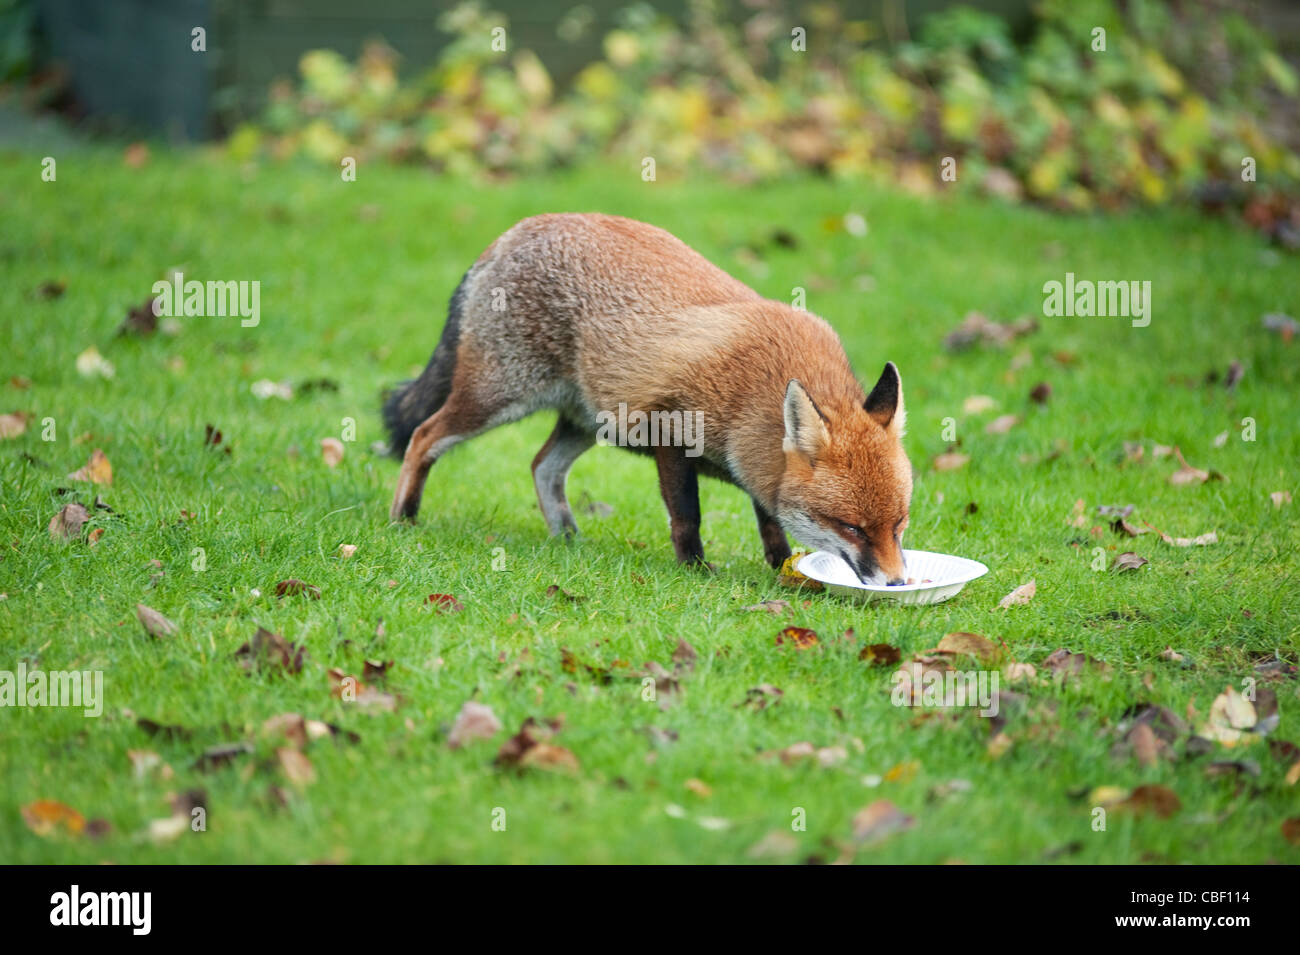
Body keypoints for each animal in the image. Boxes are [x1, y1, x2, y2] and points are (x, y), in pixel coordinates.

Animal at [385, 213, 913, 585]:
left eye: (899, 523)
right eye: (852, 528)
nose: (895, 583)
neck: (753, 394)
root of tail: (514, 232)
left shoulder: (760, 462)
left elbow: (770, 519)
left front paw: (782, 565)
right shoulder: (671, 432)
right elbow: (687, 515)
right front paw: (695, 569)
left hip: (587, 420)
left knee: (541, 466)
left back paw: (567, 538)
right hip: (497, 396)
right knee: (422, 436)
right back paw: (402, 519)